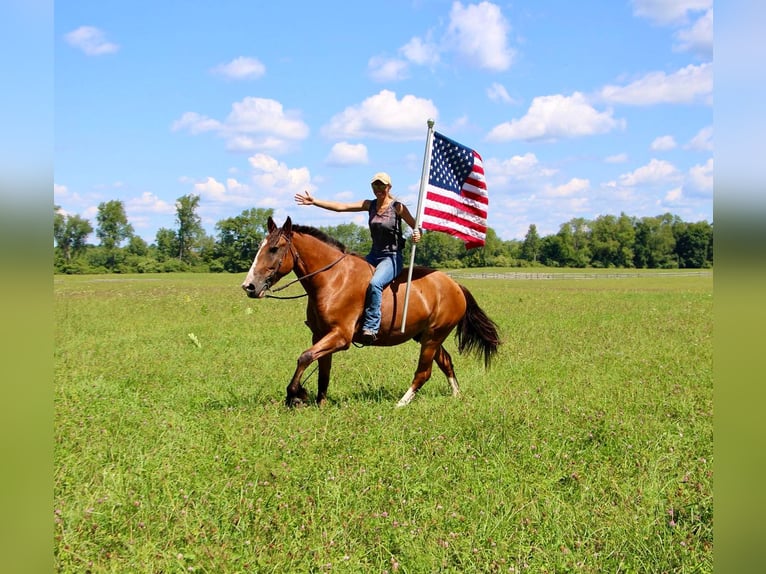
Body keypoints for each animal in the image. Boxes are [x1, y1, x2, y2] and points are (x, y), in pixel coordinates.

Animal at [242, 216, 504, 410]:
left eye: (274, 249)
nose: (249, 286)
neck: (333, 279)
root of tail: (455, 285)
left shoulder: (341, 337)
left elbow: (304, 357)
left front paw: (295, 395)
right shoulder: (321, 336)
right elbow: (322, 370)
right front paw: (320, 402)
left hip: (432, 337)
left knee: (423, 372)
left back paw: (401, 403)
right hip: (426, 337)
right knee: (446, 362)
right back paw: (457, 396)